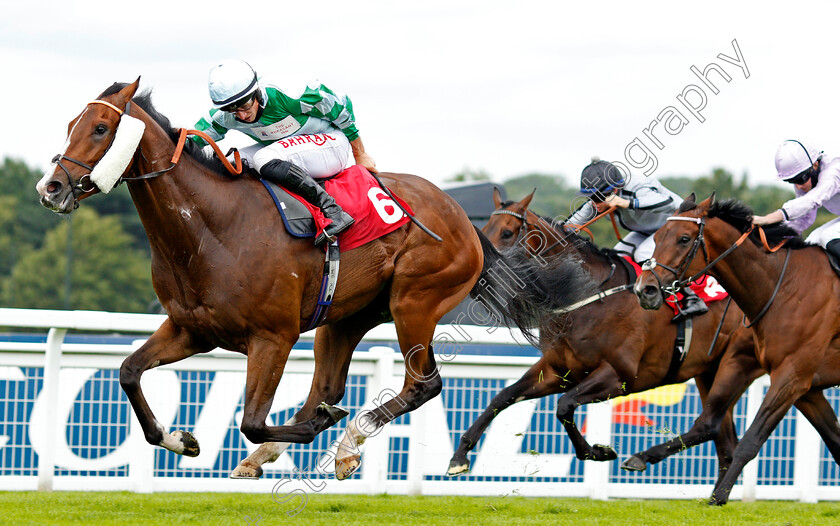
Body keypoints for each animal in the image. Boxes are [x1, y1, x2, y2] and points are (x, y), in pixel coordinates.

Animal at [34, 79, 592, 482]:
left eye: (101, 128)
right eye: (70, 124)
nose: (51, 187)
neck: (211, 228)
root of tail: (462, 219)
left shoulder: (272, 337)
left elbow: (251, 419)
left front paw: (321, 425)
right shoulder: (191, 329)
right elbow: (129, 373)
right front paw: (182, 441)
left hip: (415, 301)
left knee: (423, 383)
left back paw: (347, 441)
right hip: (346, 316)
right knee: (328, 382)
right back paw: (283, 451)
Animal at [450, 189, 764, 486]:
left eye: (506, 232)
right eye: (486, 228)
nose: (481, 273)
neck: (585, 295)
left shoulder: (618, 374)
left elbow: (564, 406)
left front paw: (598, 452)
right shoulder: (557, 370)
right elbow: (503, 396)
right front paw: (459, 457)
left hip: (737, 365)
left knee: (712, 427)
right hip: (709, 371)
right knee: (723, 440)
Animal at [632, 195, 840, 508]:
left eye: (684, 239)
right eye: (656, 237)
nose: (645, 290)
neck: (786, 287)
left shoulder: (792, 377)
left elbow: (751, 440)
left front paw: (719, 496)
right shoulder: (807, 388)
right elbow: (836, 441)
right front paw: (641, 457)